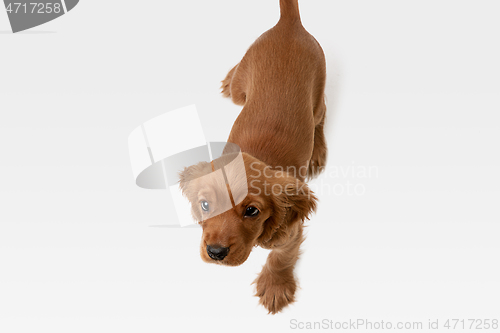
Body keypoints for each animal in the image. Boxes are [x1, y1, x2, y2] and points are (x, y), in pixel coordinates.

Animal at [180, 0, 328, 312]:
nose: (215, 252)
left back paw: (317, 151)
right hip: (241, 90)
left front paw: (275, 286)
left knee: (321, 114)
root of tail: (288, 25)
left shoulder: (291, 232)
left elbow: (280, 258)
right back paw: (229, 78)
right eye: (205, 205)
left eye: (252, 211)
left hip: (318, 94)